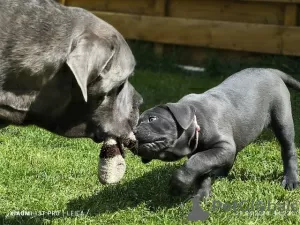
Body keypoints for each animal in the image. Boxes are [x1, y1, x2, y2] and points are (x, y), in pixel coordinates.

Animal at [134, 68, 300, 199]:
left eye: (152, 119)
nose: (133, 132)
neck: (196, 120)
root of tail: (270, 71)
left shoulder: (222, 146)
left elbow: (196, 162)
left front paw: (178, 186)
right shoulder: (208, 151)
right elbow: (202, 169)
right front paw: (202, 195)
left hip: (282, 119)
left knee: (288, 150)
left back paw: (291, 180)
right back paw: (220, 172)